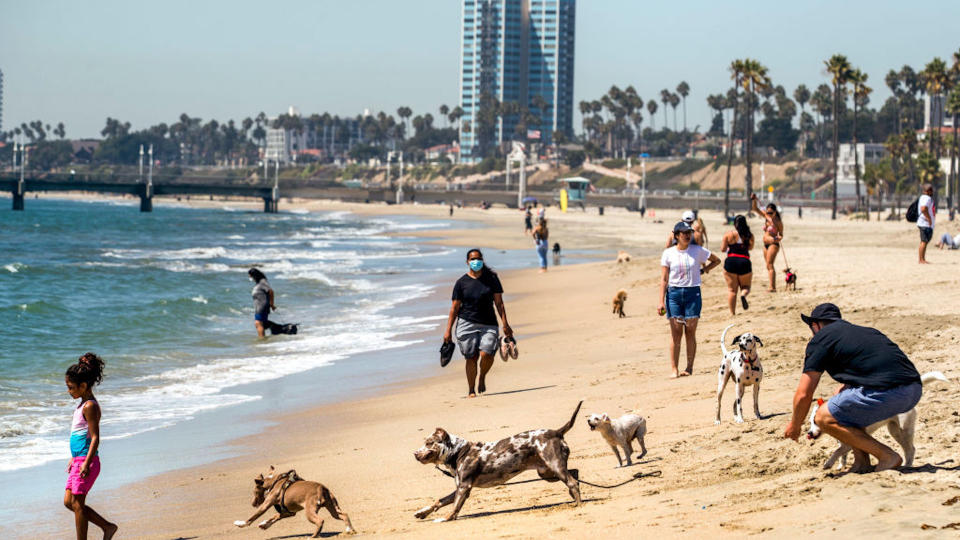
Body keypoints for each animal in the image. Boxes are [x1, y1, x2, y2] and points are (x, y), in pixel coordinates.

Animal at [410, 400, 580, 524]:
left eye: (429, 443)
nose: (415, 454)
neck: (459, 452)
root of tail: (557, 432)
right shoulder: (459, 487)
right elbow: (440, 500)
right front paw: (422, 512)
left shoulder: (464, 487)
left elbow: (454, 508)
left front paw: (445, 519)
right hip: (546, 472)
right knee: (575, 474)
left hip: (554, 465)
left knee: (572, 482)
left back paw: (578, 505)